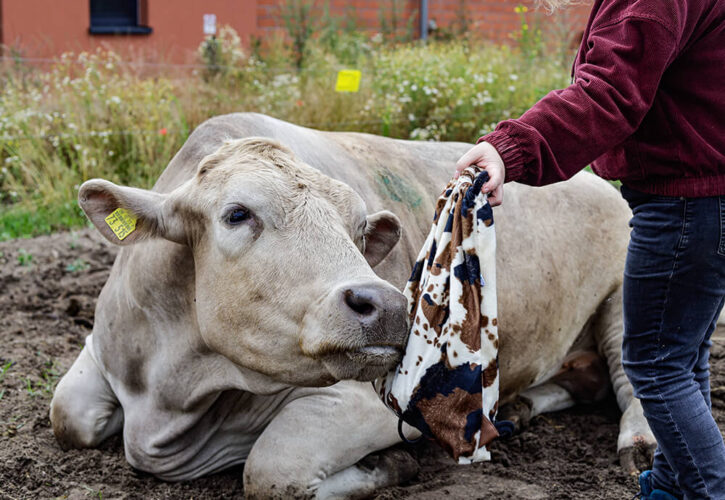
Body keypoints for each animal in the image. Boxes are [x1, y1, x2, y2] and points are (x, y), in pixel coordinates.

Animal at [50, 113, 656, 499]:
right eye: (237, 213)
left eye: (359, 229)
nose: (386, 305)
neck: (173, 388)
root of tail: (596, 179)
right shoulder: (103, 348)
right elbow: (66, 415)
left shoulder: (378, 401)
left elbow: (271, 471)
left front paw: (390, 465)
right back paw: (523, 406)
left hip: (628, 299)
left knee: (631, 381)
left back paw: (640, 446)